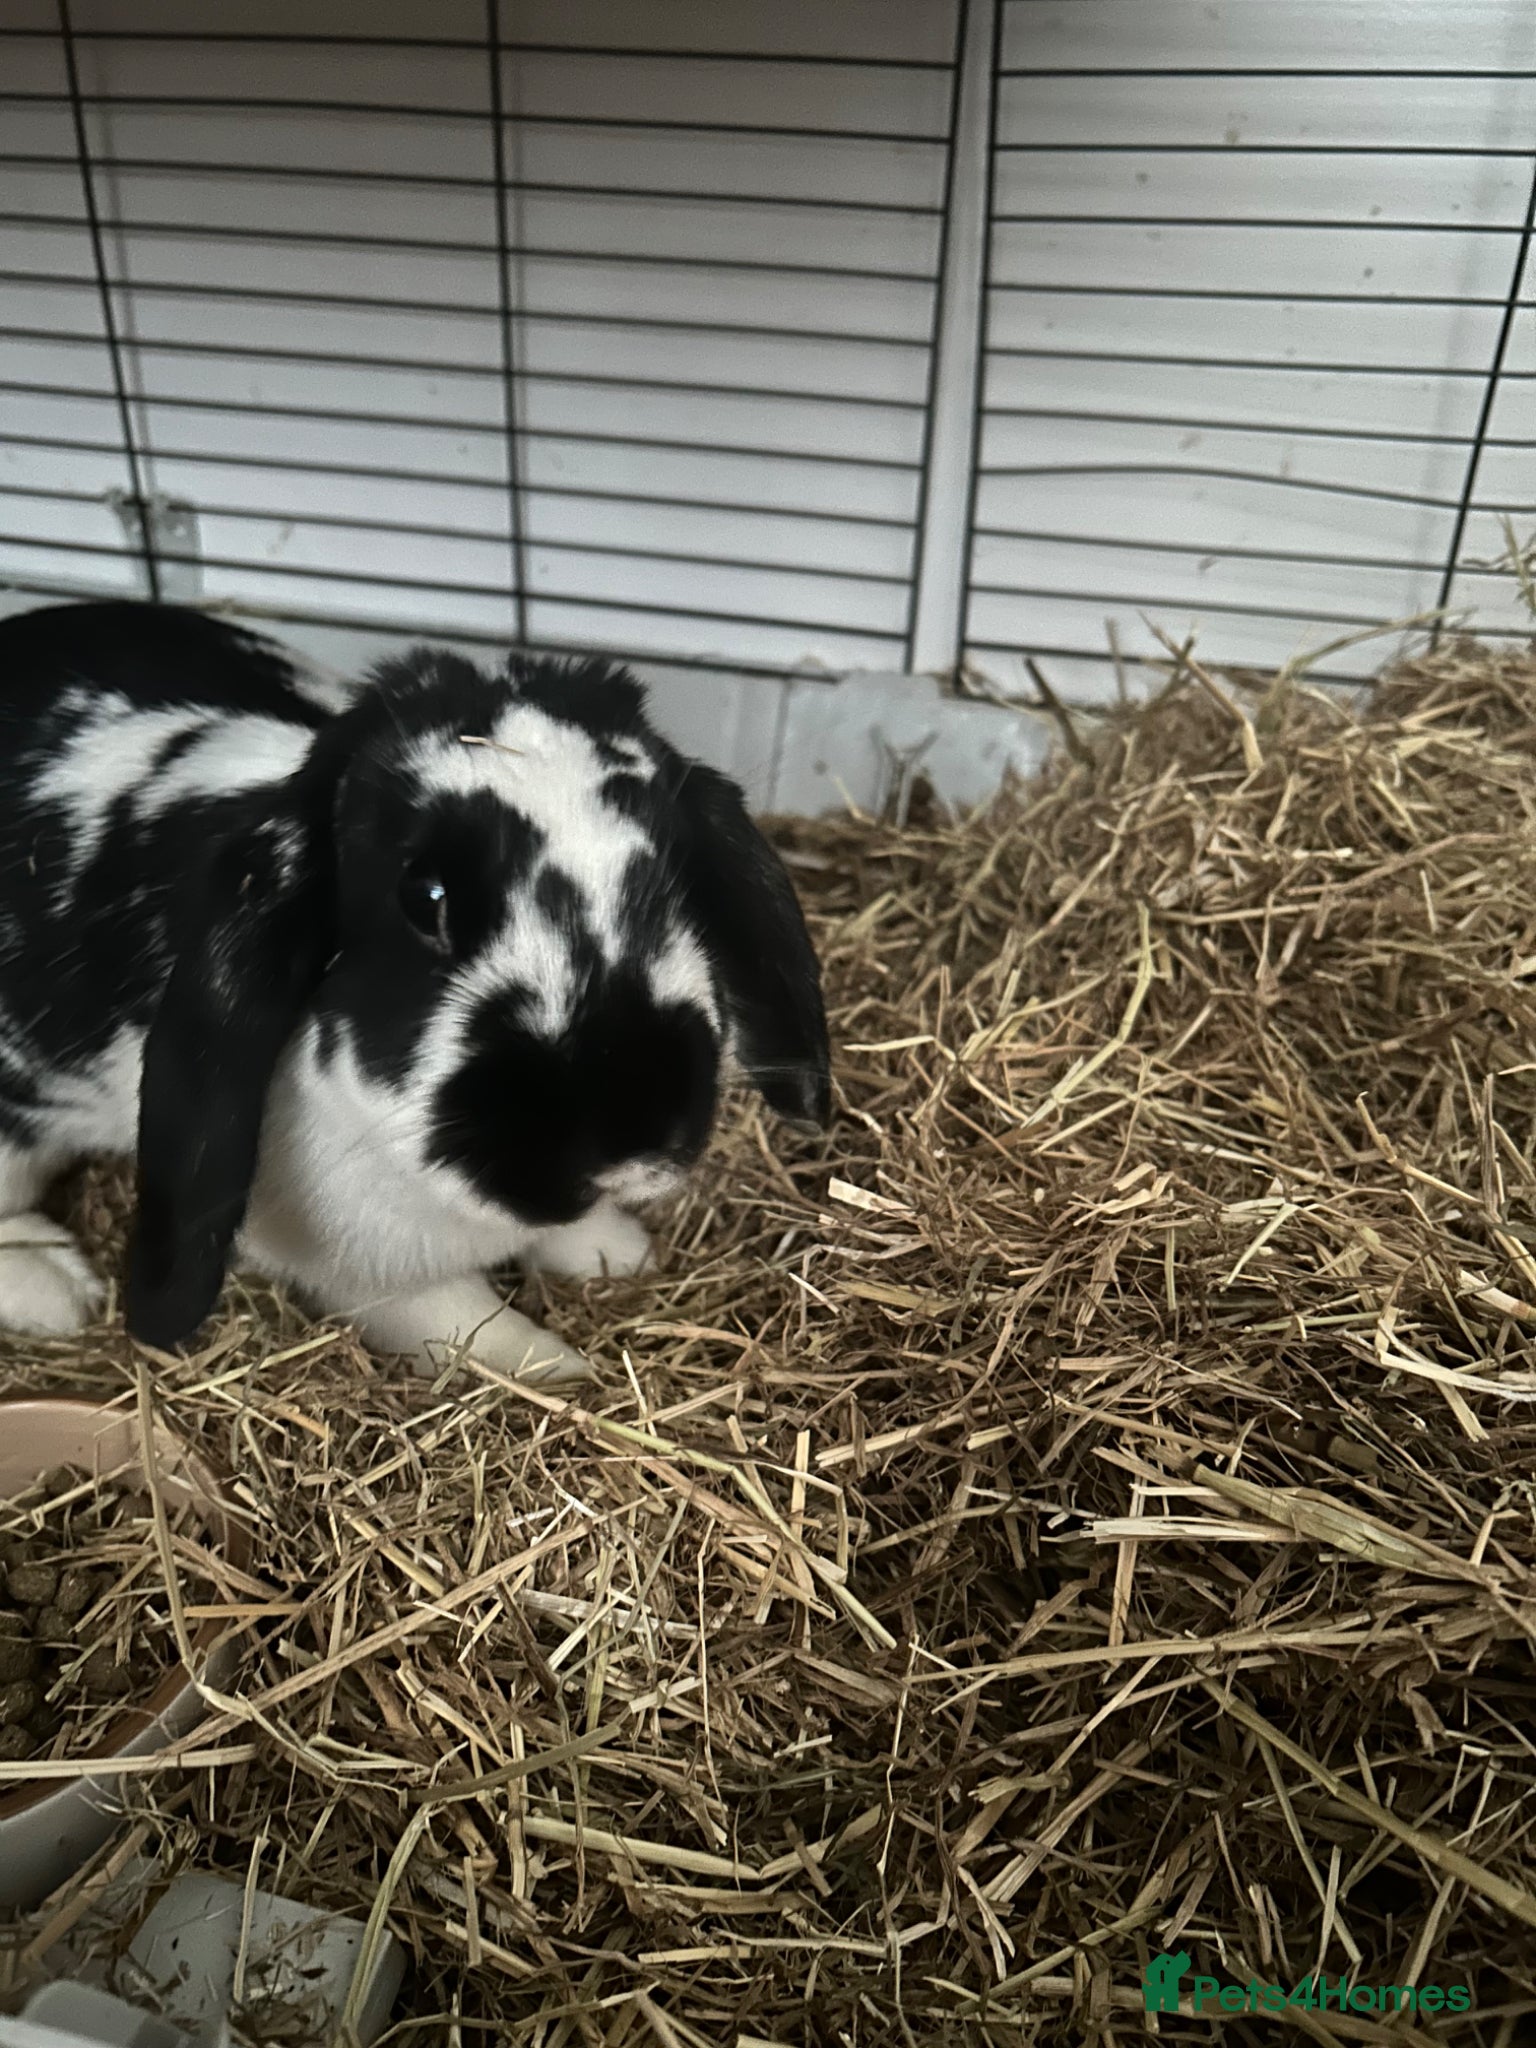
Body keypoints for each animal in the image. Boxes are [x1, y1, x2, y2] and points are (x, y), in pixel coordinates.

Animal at [0, 599, 830, 1387]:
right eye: (423, 897)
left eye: (675, 876)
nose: (628, 1141)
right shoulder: (363, 1268)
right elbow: (457, 1318)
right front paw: (558, 1367)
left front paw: (619, 1253)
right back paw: (61, 1286)